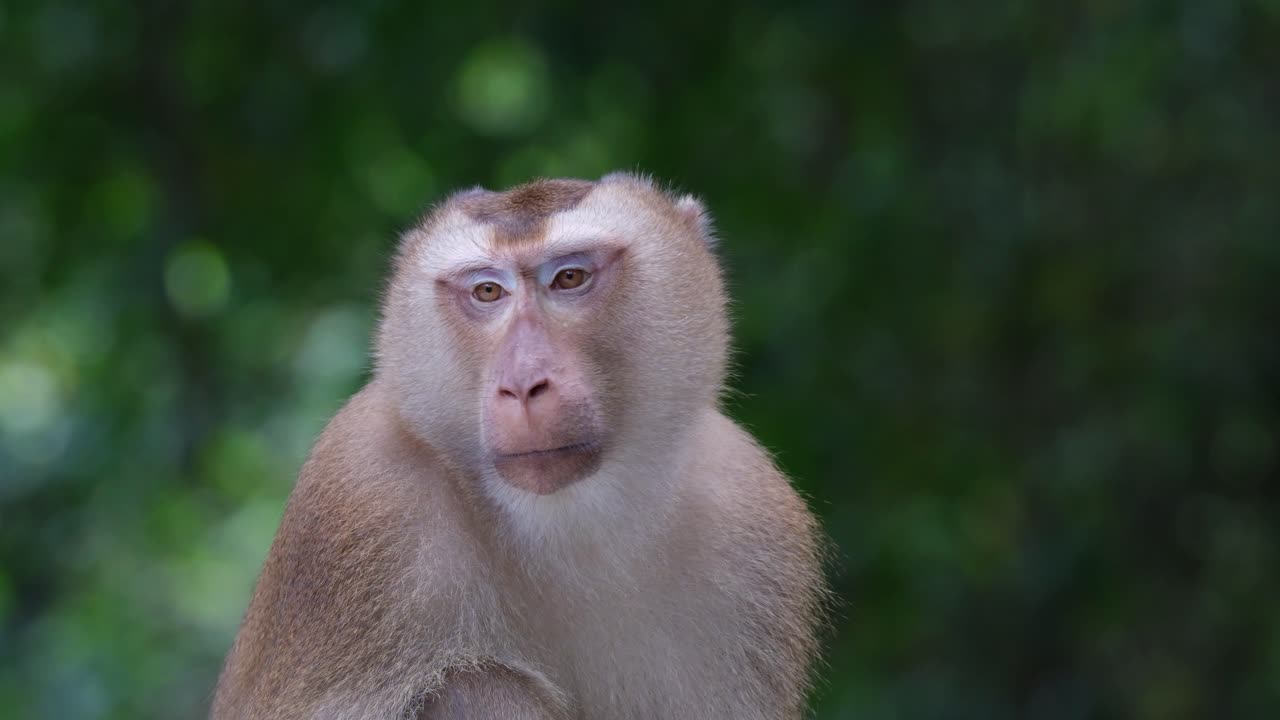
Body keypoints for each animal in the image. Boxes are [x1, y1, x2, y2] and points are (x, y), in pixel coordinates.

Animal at [210, 172, 828, 720]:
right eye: (488, 290)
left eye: (569, 278)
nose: (523, 383)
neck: (570, 526)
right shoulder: (363, 497)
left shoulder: (750, 518)